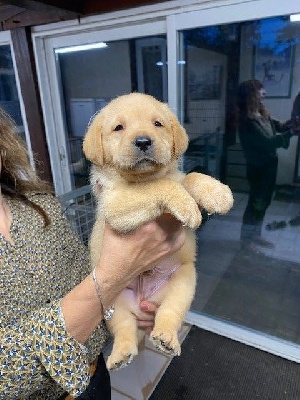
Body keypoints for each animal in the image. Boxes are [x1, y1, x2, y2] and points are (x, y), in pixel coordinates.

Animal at [83, 92, 233, 370]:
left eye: (157, 124)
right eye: (118, 128)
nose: (143, 141)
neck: (143, 176)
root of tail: (144, 301)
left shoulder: (178, 177)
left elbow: (188, 177)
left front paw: (216, 192)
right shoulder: (115, 202)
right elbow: (158, 186)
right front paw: (186, 204)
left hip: (182, 283)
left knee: (169, 313)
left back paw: (166, 339)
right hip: (111, 302)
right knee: (124, 327)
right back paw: (120, 355)